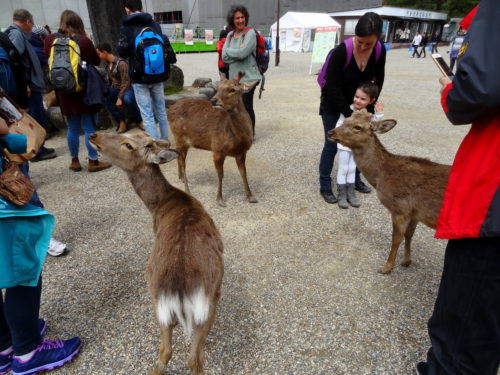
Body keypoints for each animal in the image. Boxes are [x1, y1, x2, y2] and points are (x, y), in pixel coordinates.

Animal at [89, 132, 224, 375]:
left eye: (128, 145)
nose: (94, 135)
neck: (159, 205)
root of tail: (178, 290)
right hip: (202, 306)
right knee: (188, 357)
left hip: (165, 303)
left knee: (170, 352)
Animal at [169, 72, 258, 207]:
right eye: (218, 88)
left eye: (232, 89)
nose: (213, 100)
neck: (238, 139)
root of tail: (169, 110)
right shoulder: (217, 148)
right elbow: (221, 175)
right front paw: (220, 199)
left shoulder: (242, 152)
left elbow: (243, 173)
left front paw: (251, 197)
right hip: (179, 137)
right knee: (183, 162)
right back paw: (187, 190)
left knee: (178, 157)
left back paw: (181, 178)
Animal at [328, 110, 454, 274]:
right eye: (345, 120)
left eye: (358, 127)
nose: (331, 132)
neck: (381, 176)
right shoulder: (415, 212)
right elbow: (409, 235)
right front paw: (406, 261)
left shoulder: (400, 208)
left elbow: (396, 238)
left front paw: (386, 267)